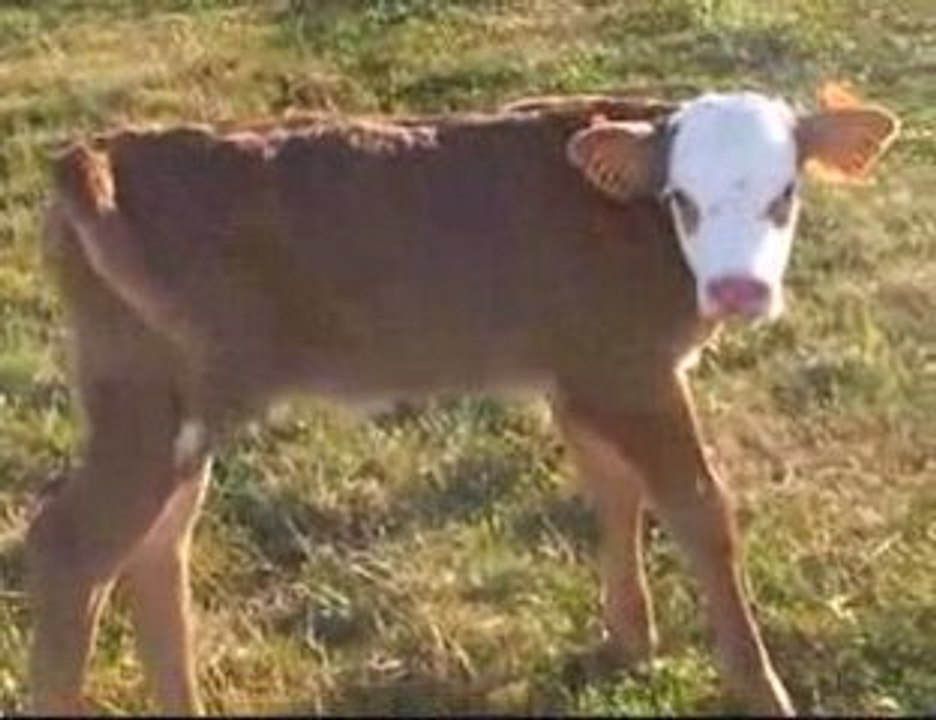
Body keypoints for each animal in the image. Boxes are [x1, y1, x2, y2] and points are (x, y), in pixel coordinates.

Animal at [26, 84, 898, 715]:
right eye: (681, 196)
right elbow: (700, 513)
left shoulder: (579, 376)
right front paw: (762, 690)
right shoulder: (633, 373)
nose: (738, 291)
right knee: (69, 548)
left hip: (160, 410)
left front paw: (631, 640)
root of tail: (96, 154)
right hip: (155, 407)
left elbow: (613, 492)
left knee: (155, 544)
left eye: (785, 193)